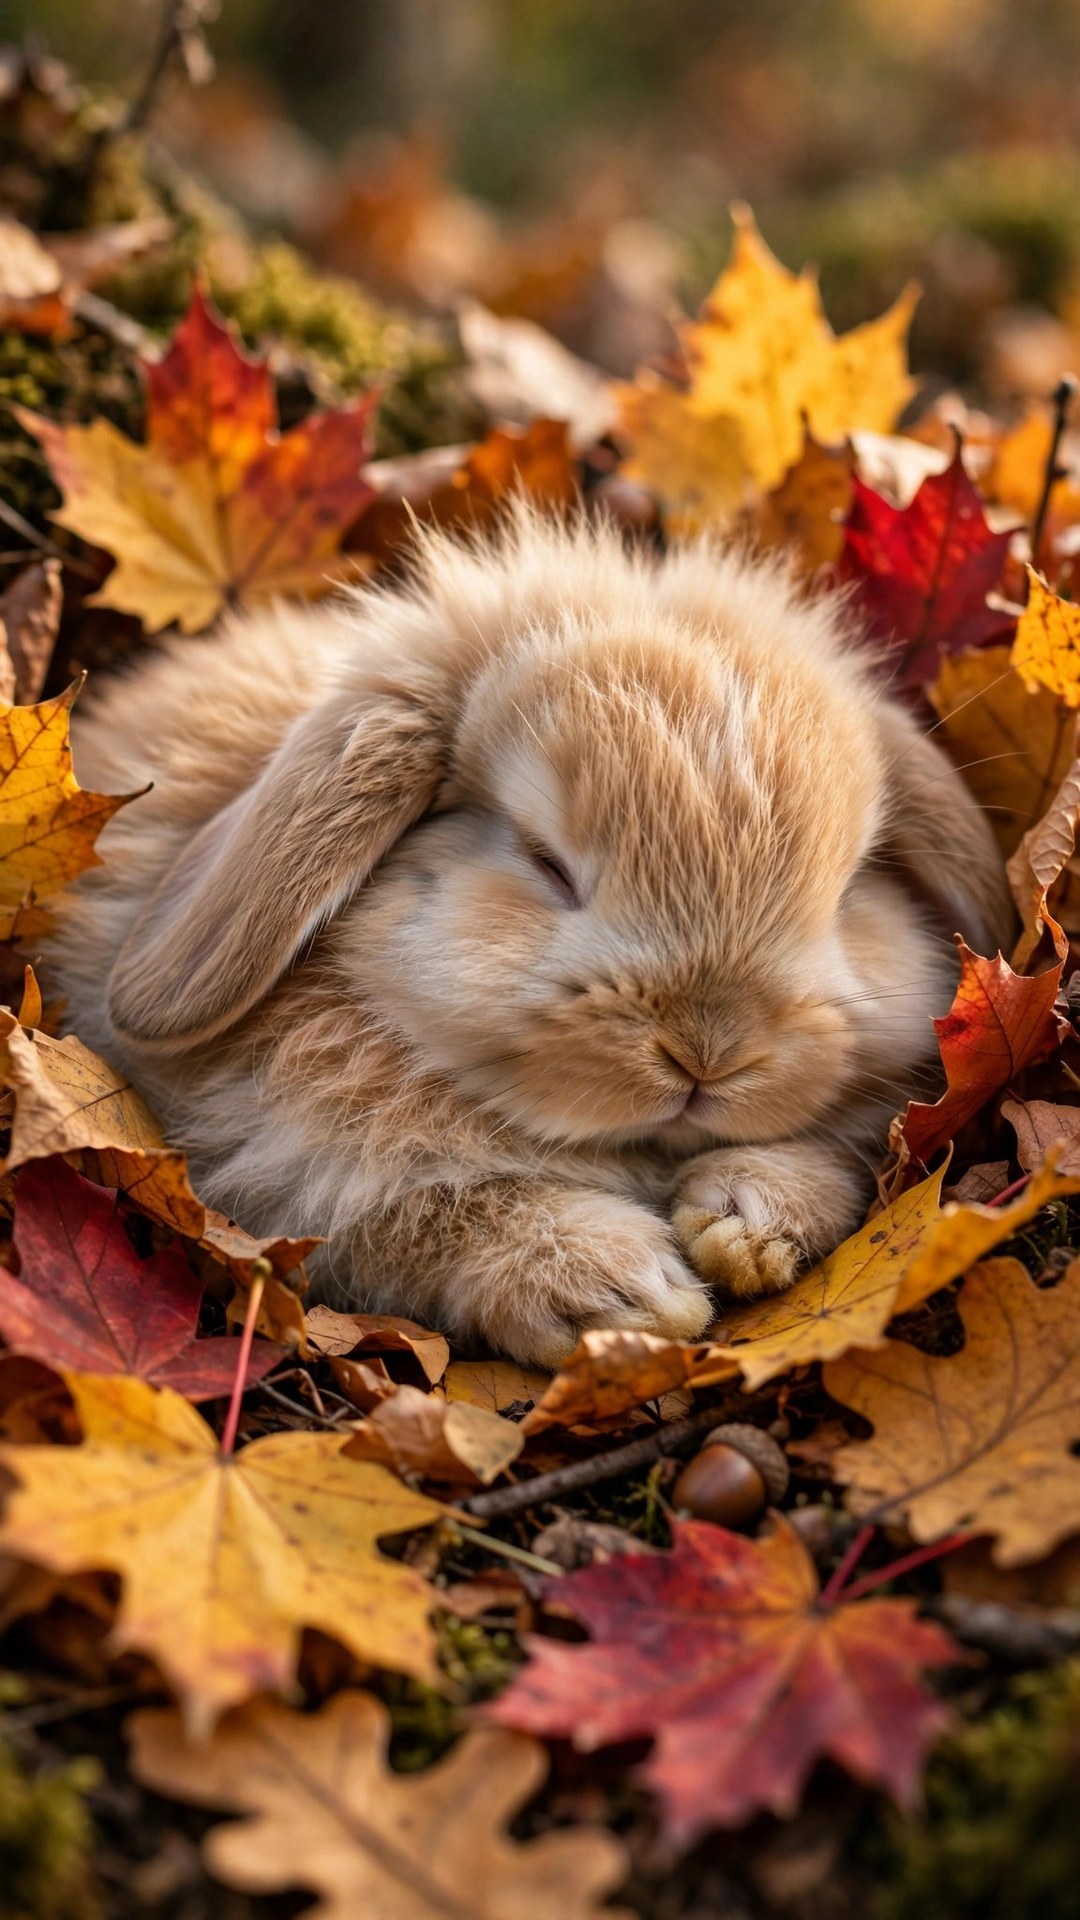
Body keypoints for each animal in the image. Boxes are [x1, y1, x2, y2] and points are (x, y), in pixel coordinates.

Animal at [46, 507, 1012, 1367]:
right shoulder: (280, 1179)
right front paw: (622, 1287)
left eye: (849, 889)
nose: (709, 1052)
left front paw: (751, 1217)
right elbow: (416, 1219)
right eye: (547, 863)